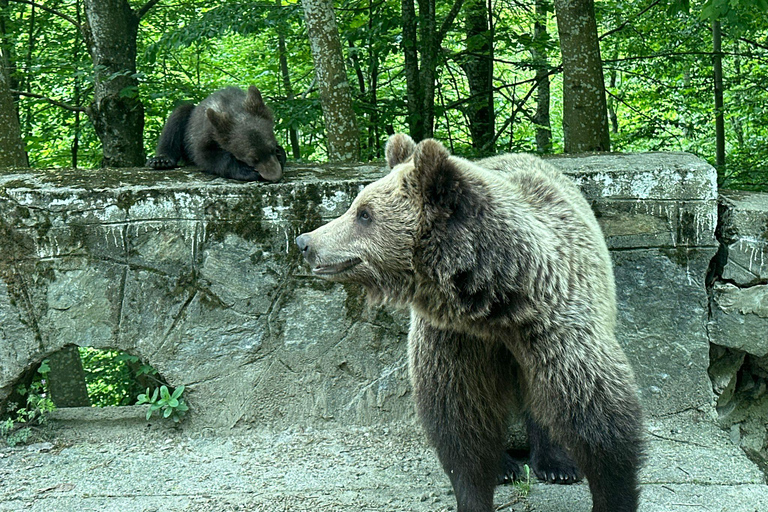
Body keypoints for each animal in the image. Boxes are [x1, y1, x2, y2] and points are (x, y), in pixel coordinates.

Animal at [294, 135, 640, 512]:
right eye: (357, 206)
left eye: (364, 213)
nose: (305, 242)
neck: (494, 303)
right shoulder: (454, 340)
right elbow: (461, 422)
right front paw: (478, 488)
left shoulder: (556, 325)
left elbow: (597, 414)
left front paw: (610, 491)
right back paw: (506, 467)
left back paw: (555, 463)